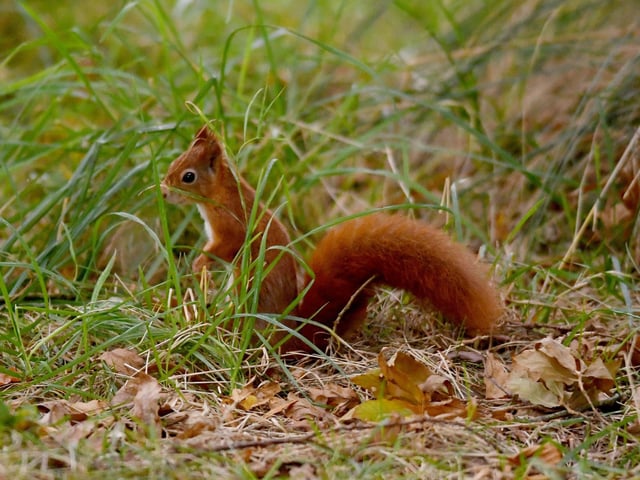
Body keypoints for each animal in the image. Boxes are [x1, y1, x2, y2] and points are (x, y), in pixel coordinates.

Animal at [160, 125, 503, 353]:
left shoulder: (231, 228)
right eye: (173, 163)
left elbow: (222, 248)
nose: (163, 191)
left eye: (188, 176)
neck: (218, 197)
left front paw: (199, 265)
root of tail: (292, 334)